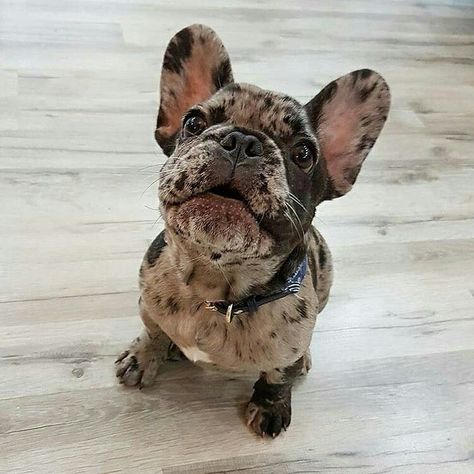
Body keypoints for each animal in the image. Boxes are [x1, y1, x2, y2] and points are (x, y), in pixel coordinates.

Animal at [115, 23, 388, 436]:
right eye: (193, 123)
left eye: (304, 154)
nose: (242, 141)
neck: (216, 287)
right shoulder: (147, 303)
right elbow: (153, 330)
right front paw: (144, 355)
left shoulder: (286, 349)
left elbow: (277, 376)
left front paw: (270, 406)